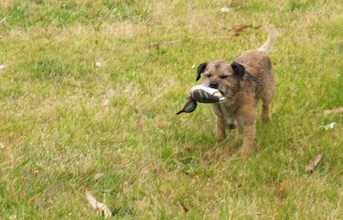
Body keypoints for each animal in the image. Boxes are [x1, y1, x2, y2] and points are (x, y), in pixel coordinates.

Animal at [195, 25, 278, 156]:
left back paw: (266, 119)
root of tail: (259, 51)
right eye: (208, 75)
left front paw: (244, 156)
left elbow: (248, 141)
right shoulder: (220, 117)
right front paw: (220, 143)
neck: (228, 100)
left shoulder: (249, 122)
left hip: (268, 93)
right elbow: (220, 131)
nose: (212, 84)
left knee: (265, 105)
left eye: (224, 76)